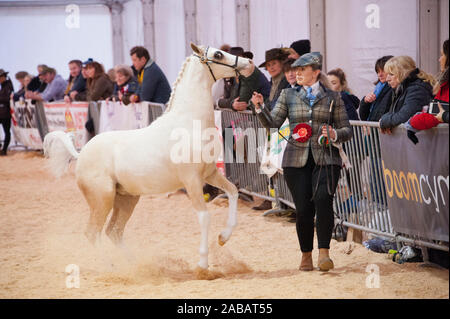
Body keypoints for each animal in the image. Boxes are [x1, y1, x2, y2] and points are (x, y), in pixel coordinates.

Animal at [44, 43, 255, 276]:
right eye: (218, 54)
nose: (249, 64)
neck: (188, 122)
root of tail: (81, 154)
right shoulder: (191, 180)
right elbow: (204, 217)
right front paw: (202, 265)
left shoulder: (210, 174)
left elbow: (233, 191)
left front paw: (223, 238)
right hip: (102, 200)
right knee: (93, 233)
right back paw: (111, 268)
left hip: (126, 199)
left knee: (113, 232)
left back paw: (136, 266)